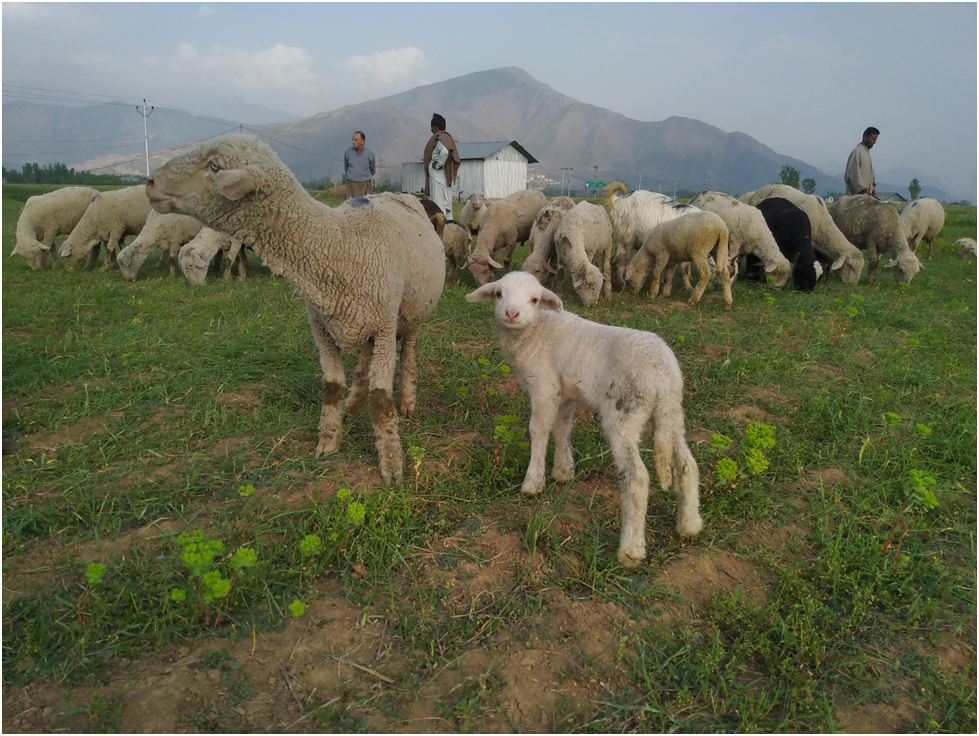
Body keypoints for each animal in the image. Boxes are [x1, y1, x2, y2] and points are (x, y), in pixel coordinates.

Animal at [145, 135, 444, 486]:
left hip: (411, 313)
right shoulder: (322, 329)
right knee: (363, 361)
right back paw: (353, 403)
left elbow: (381, 401)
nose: (149, 182)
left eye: (215, 166)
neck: (341, 246)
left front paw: (392, 467)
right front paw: (328, 442)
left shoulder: (384, 328)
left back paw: (408, 400)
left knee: (409, 350)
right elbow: (332, 388)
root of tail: (401, 196)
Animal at [468, 274, 704, 568]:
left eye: (534, 300)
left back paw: (630, 550)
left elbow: (538, 430)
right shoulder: (565, 392)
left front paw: (533, 483)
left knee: (636, 478)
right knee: (686, 464)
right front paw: (563, 471)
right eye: (499, 294)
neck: (534, 332)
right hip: (672, 416)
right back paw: (690, 525)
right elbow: (562, 427)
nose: (511, 314)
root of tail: (663, 376)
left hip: (624, 414)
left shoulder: (544, 386)